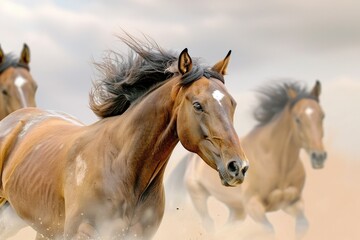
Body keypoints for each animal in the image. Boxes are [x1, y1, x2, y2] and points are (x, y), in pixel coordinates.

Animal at [167, 80, 328, 238]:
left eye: (322, 116)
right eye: (297, 119)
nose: (319, 156)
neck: (278, 163)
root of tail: (191, 160)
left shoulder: (294, 203)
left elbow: (303, 225)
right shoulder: (253, 206)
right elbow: (269, 230)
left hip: (237, 210)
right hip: (198, 196)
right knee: (209, 223)